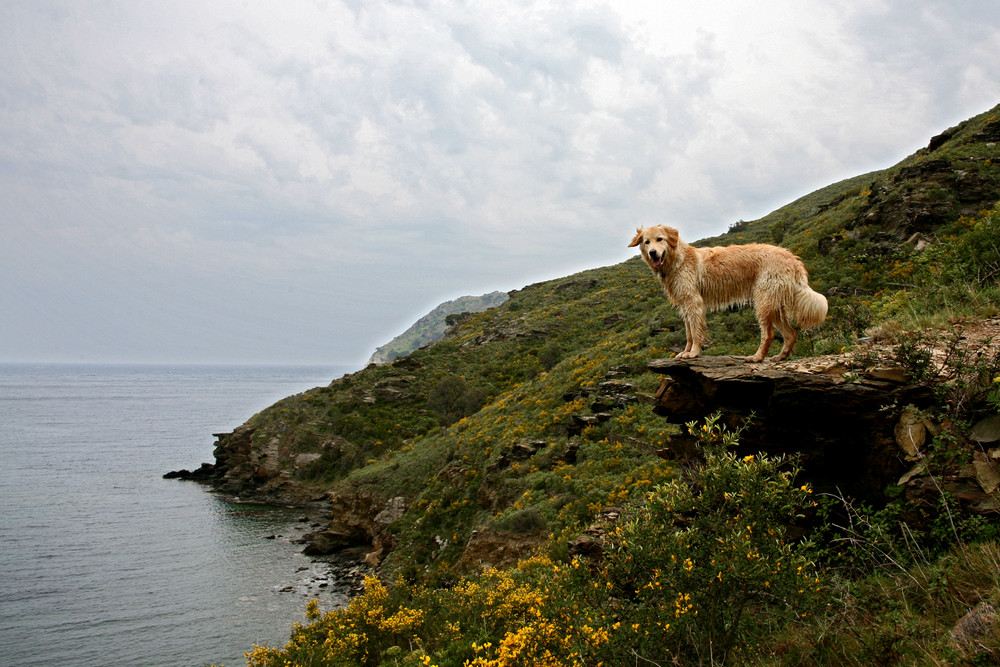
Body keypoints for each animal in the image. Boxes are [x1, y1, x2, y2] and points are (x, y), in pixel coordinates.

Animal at [632, 223, 828, 360]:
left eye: (660, 239)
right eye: (646, 242)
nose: (653, 253)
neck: (677, 260)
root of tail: (792, 258)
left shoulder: (693, 302)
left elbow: (695, 333)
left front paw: (694, 353)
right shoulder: (684, 305)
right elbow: (688, 334)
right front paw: (685, 352)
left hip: (763, 302)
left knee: (769, 334)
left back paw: (757, 357)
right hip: (774, 305)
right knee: (791, 334)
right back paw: (779, 357)